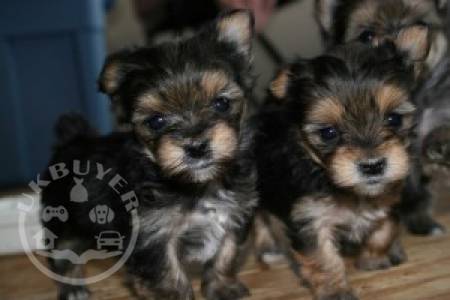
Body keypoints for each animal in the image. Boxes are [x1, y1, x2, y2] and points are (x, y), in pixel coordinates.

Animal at [43, 9, 260, 300]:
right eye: (156, 121)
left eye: (221, 103)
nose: (196, 146)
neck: (195, 184)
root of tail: (73, 139)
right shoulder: (152, 235)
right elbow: (167, 275)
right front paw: (176, 296)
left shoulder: (234, 214)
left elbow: (225, 253)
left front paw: (222, 287)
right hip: (62, 218)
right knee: (64, 253)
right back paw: (72, 288)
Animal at [255, 34, 428, 298]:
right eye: (328, 133)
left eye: (394, 119)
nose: (372, 165)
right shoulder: (310, 218)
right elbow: (323, 257)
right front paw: (334, 291)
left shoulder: (387, 197)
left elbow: (384, 227)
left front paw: (374, 258)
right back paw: (269, 248)